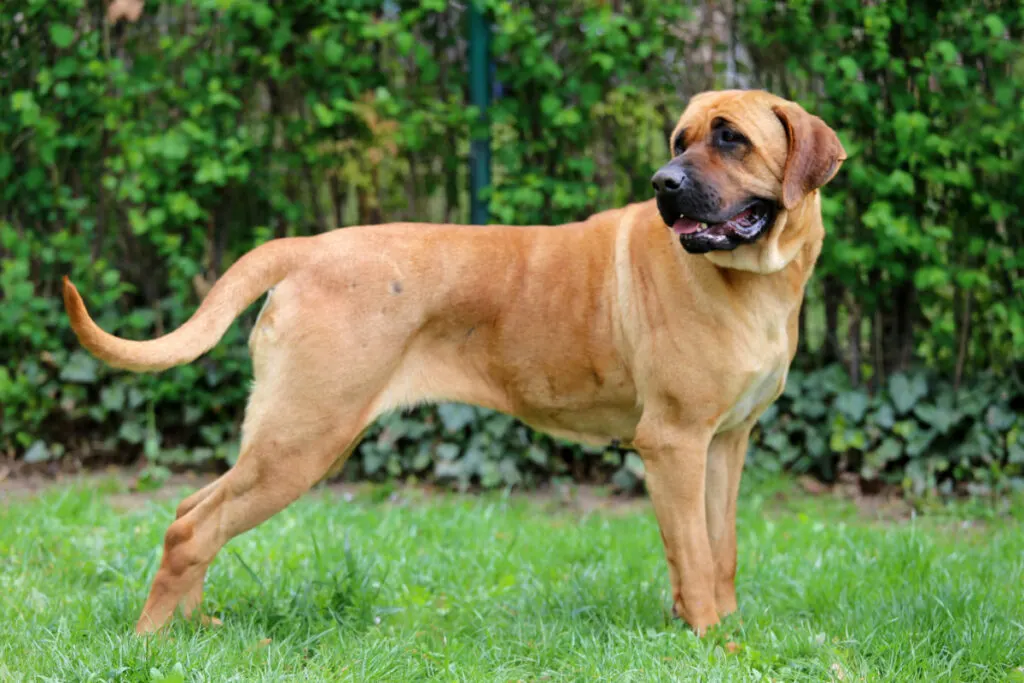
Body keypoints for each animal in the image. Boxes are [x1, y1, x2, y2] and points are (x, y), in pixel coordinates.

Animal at [64, 89, 847, 634]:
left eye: (731, 138)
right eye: (682, 141)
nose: (665, 182)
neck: (753, 281)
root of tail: (308, 247)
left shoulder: (725, 442)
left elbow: (721, 548)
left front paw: (722, 625)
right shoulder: (675, 443)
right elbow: (691, 553)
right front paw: (711, 638)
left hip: (299, 436)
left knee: (195, 514)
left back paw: (194, 627)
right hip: (301, 439)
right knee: (192, 527)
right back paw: (151, 641)